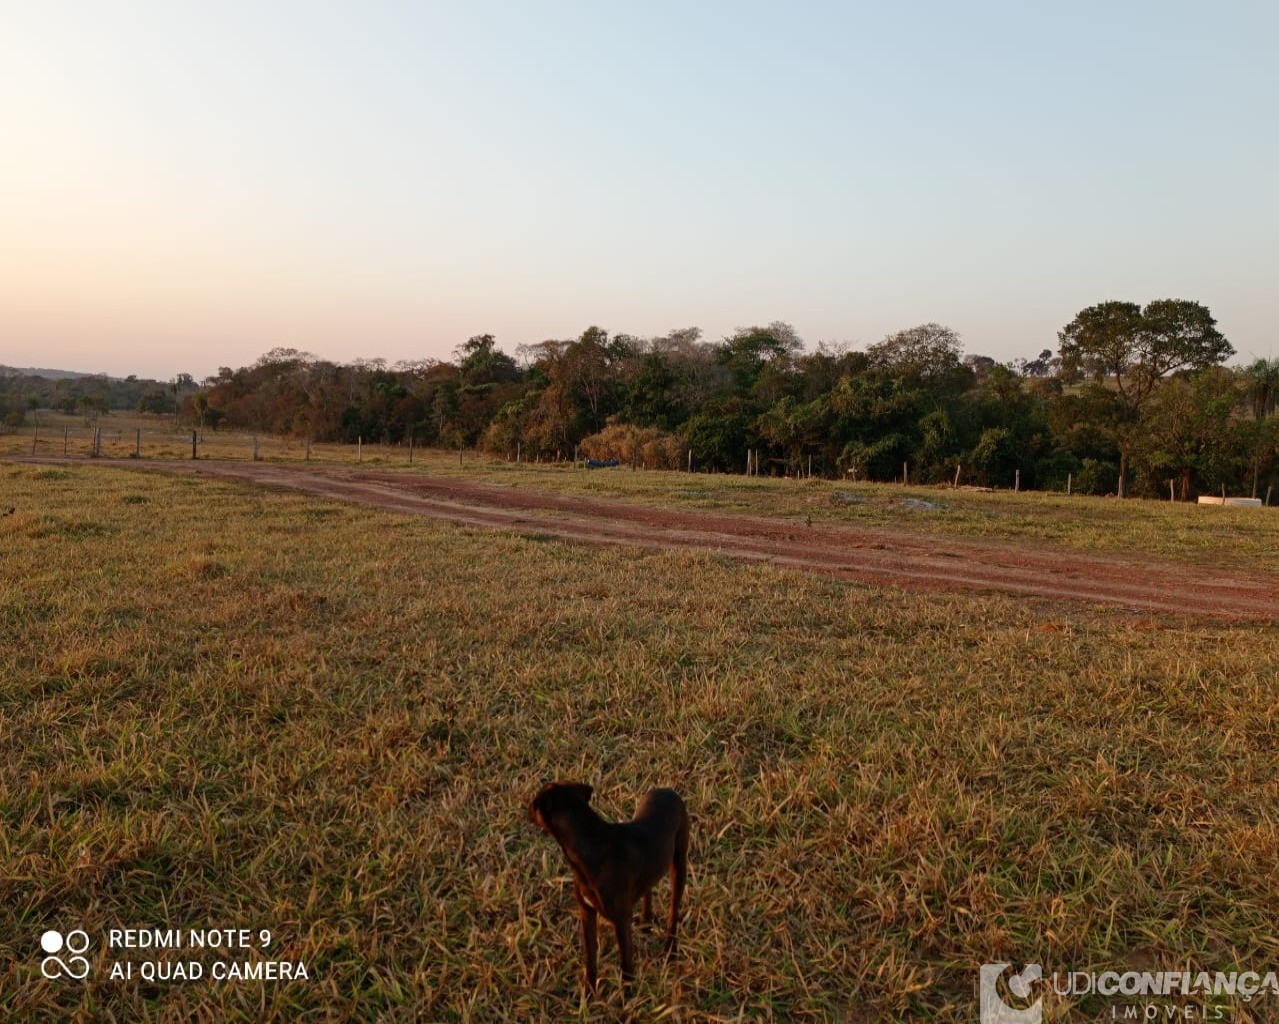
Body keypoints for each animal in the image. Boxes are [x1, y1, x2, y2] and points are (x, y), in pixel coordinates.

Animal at [526, 782, 690, 992]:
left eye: (536, 802)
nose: (527, 807)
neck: (591, 844)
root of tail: (667, 790)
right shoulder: (587, 913)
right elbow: (590, 958)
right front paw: (589, 993)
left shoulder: (621, 922)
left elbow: (626, 965)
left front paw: (629, 995)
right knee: (648, 888)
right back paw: (645, 923)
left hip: (679, 864)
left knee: (673, 912)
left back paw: (670, 950)